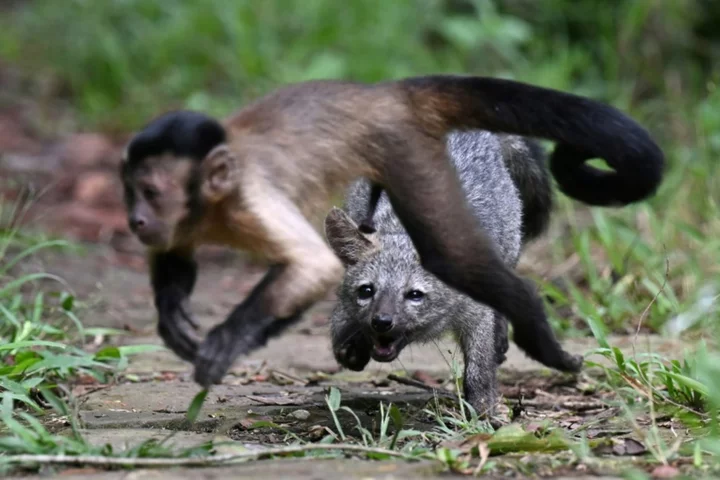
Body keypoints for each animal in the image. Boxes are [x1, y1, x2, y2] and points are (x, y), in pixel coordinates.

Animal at [118, 76, 664, 390]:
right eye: (367, 291)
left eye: (414, 295)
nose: (381, 322)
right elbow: (337, 330)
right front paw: (351, 347)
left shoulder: (473, 309)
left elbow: (479, 369)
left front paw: (484, 414)